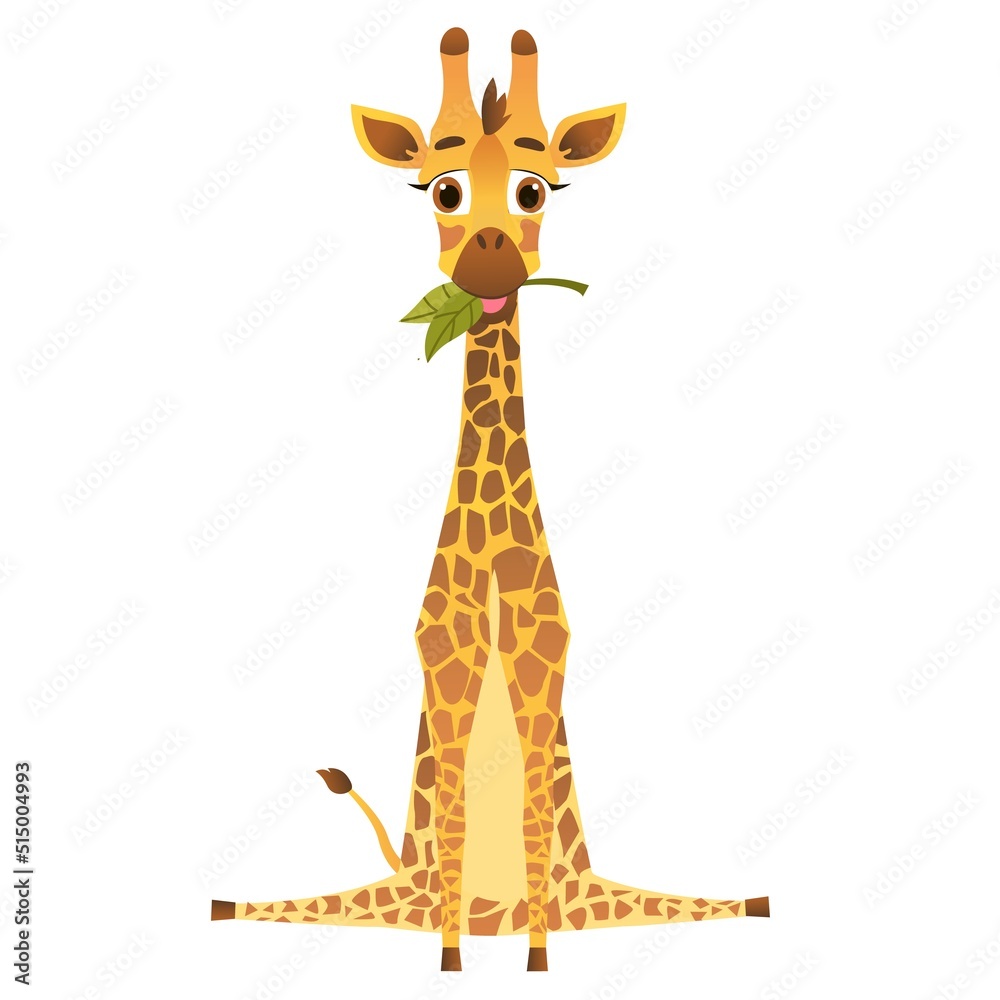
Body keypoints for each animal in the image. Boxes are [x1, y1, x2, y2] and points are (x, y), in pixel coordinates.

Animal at [211, 27, 769, 973]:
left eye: (535, 188)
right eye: (441, 189)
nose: (490, 253)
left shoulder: (547, 659)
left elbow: (536, 813)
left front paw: (536, 959)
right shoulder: (443, 657)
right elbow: (463, 811)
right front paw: (451, 960)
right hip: (390, 882)